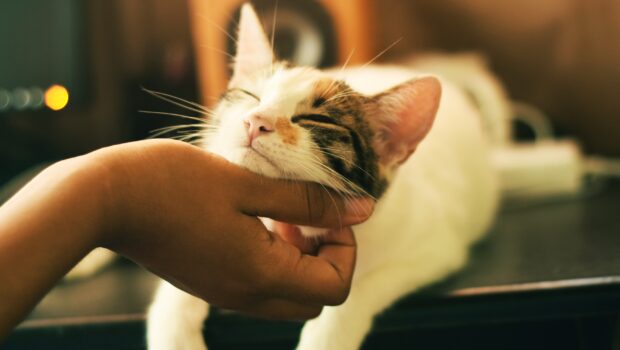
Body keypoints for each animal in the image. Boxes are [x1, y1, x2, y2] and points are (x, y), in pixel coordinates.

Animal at [147, 3, 498, 350]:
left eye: (315, 119)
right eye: (250, 95)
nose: (255, 121)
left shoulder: (435, 249)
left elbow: (357, 291)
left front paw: (327, 336)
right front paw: (174, 332)